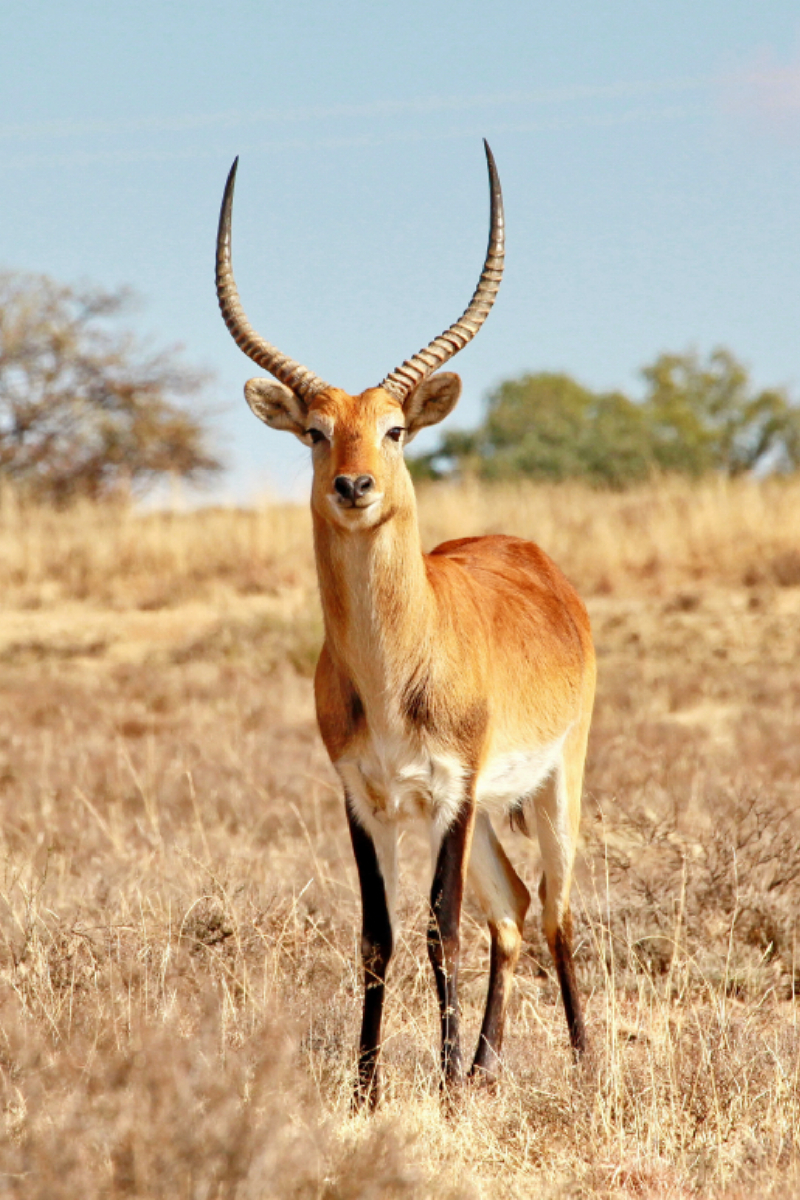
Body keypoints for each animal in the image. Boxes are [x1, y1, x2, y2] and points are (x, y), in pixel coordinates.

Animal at [215, 142, 597, 1104]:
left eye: (394, 429)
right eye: (316, 431)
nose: (356, 487)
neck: (395, 675)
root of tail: (535, 559)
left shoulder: (452, 791)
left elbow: (439, 927)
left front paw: (444, 1094)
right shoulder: (366, 794)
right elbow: (379, 935)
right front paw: (368, 1090)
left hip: (552, 783)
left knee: (559, 910)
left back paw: (579, 1066)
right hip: (493, 809)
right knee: (516, 913)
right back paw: (487, 1065)